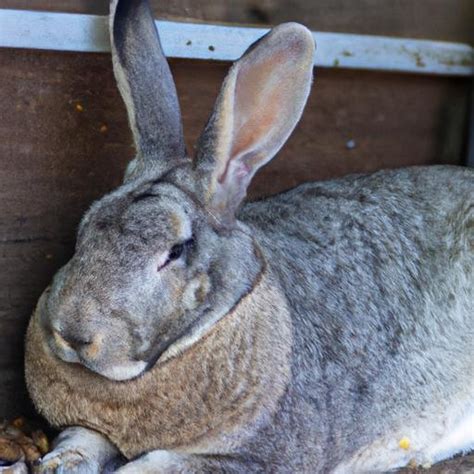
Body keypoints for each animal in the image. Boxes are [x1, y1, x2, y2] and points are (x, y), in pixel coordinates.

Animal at [26, 0, 474, 472]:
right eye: (85, 228)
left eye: (176, 251)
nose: (73, 333)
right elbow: (82, 439)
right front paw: (61, 462)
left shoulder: (258, 457)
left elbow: (157, 465)